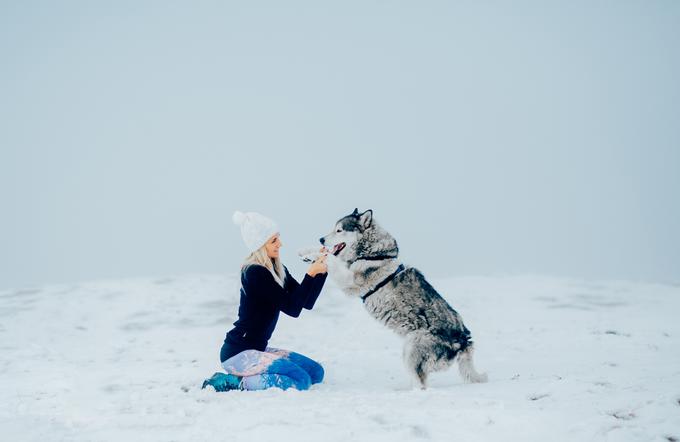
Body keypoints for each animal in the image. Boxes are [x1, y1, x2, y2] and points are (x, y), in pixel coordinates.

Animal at [318, 209, 488, 388]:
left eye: (339, 230)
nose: (321, 239)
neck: (373, 254)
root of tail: (464, 340)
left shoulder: (351, 282)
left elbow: (332, 261)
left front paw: (317, 254)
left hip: (412, 349)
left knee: (421, 384)